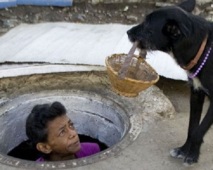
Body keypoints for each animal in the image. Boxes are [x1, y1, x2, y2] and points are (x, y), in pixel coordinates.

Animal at [126, 0, 213, 165]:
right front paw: (184, 150)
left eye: (148, 26)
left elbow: (199, 130)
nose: (128, 32)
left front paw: (192, 155)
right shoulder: (196, 93)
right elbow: (192, 127)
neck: (204, 49)